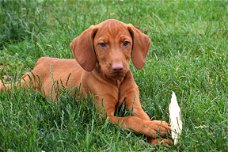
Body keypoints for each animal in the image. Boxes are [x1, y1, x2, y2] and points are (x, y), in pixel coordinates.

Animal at [0, 19, 171, 145]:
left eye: (126, 43)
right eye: (102, 44)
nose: (118, 68)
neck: (116, 82)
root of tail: (43, 59)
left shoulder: (135, 106)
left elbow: (142, 118)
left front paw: (157, 134)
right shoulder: (105, 117)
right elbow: (131, 120)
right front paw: (155, 129)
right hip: (24, 84)